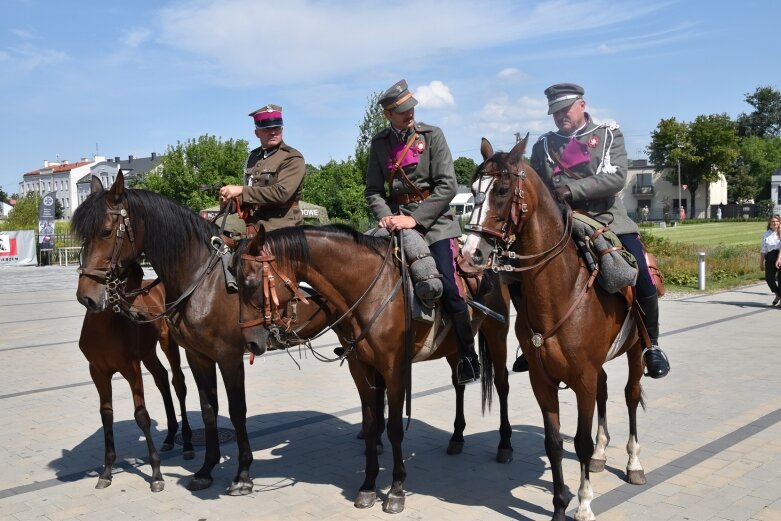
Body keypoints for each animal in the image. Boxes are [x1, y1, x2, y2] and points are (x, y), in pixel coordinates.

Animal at [78, 262, 194, 490]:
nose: (88, 299)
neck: (104, 327)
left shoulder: (132, 368)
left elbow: (141, 416)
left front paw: (156, 474)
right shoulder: (97, 371)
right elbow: (106, 414)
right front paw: (106, 471)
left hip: (168, 342)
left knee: (178, 383)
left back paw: (186, 443)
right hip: (148, 353)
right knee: (161, 377)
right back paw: (169, 437)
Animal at [232, 222, 512, 512]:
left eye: (251, 283)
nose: (250, 343)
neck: (371, 292)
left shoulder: (394, 370)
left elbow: (395, 428)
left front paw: (397, 489)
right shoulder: (361, 368)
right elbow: (369, 424)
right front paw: (368, 486)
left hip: (497, 333)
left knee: (502, 384)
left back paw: (504, 445)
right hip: (454, 348)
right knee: (458, 385)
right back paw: (457, 436)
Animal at [460, 137, 644, 520]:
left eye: (502, 189)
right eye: (472, 188)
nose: (470, 255)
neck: (561, 290)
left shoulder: (583, 377)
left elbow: (581, 442)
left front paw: (584, 504)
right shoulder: (542, 379)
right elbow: (555, 442)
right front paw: (560, 505)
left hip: (636, 350)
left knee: (631, 394)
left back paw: (634, 463)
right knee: (606, 391)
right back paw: (603, 454)